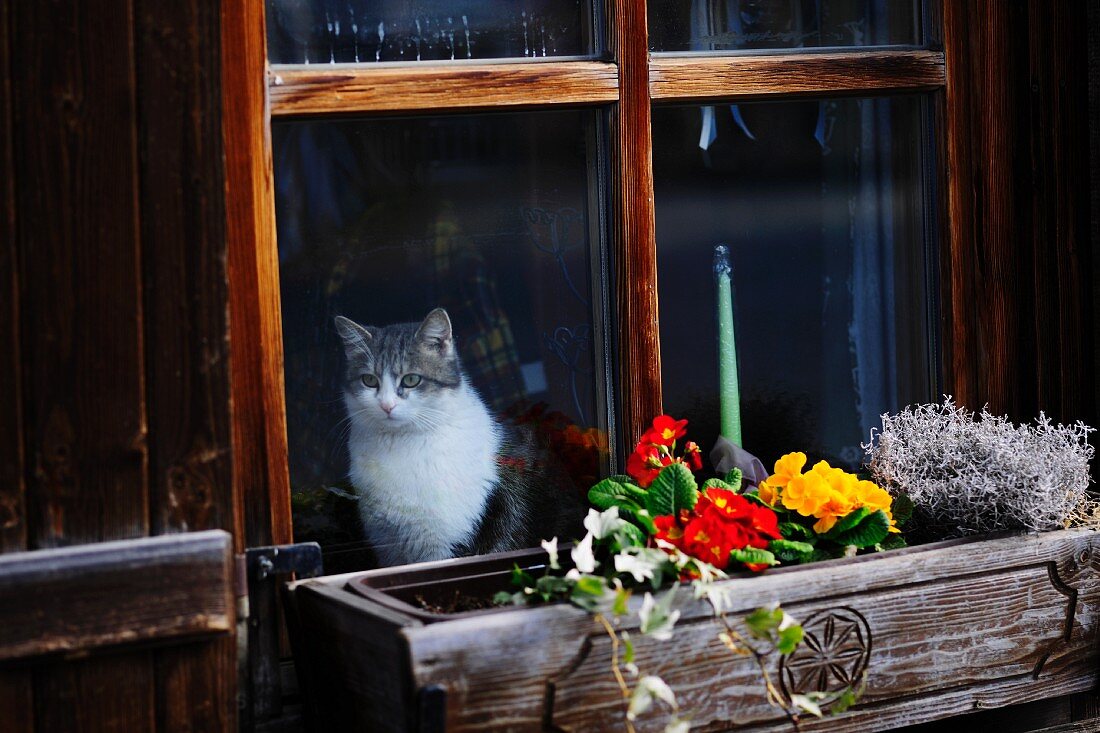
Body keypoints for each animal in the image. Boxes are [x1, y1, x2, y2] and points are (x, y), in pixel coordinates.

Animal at [332, 305, 585, 563]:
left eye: (411, 379)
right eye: (369, 380)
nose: (386, 405)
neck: (398, 446)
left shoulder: (444, 548)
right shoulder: (387, 547)